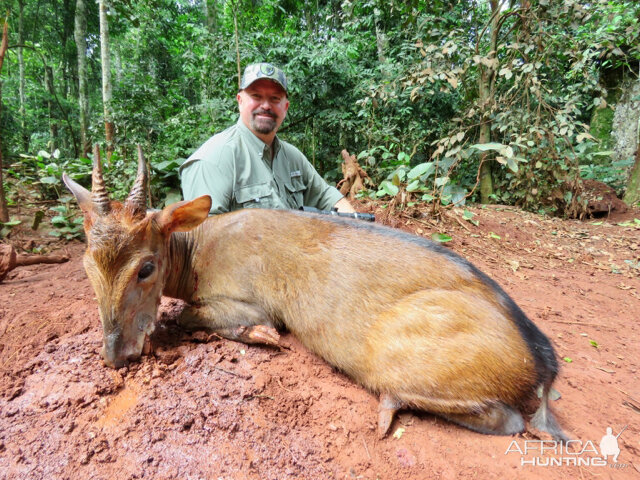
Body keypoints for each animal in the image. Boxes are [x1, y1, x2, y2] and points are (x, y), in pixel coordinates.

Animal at [62, 148, 568, 440]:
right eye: (87, 266)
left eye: (146, 267)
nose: (115, 354)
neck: (196, 253)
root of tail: (542, 361)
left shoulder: (248, 299)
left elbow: (186, 315)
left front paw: (261, 336)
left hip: (392, 350)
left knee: (511, 420)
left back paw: (388, 409)